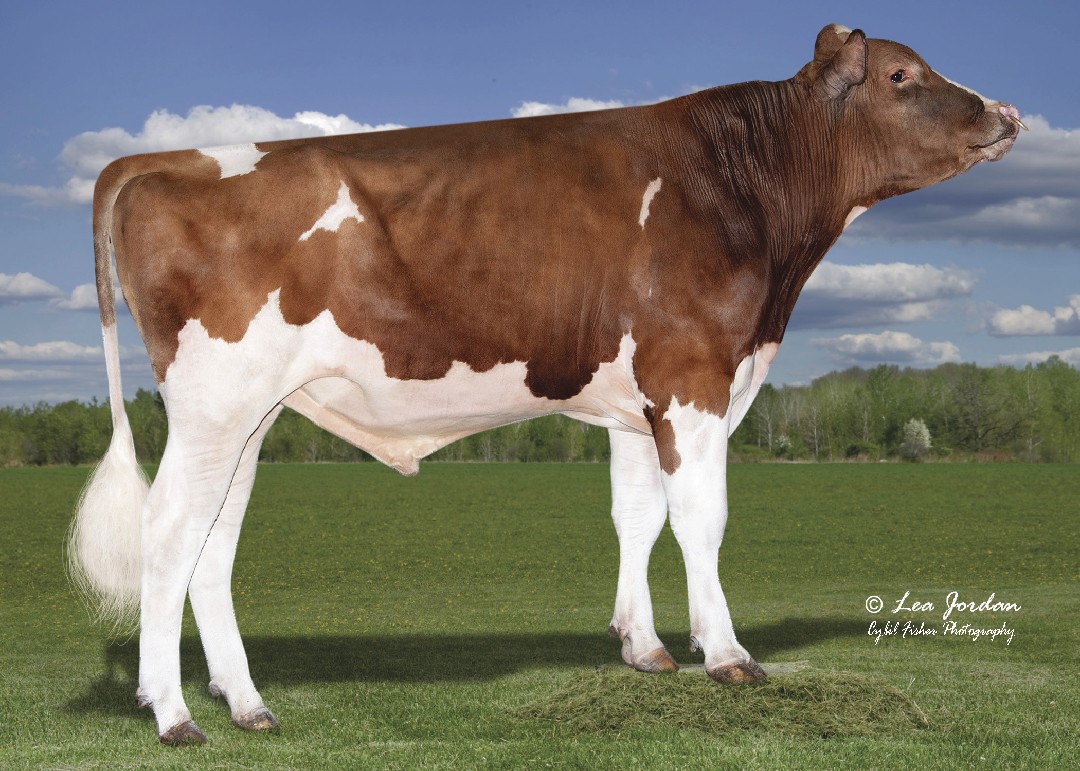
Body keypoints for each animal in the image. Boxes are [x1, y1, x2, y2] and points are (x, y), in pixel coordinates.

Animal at [69, 24, 1022, 745]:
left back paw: (246, 703)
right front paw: (726, 654)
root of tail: (159, 158)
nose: (1009, 113)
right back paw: (174, 714)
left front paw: (644, 648)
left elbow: (637, 517)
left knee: (212, 544)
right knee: (166, 532)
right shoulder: (693, 376)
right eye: (902, 75)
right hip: (213, 403)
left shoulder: (637, 403)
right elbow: (701, 518)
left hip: (246, 418)